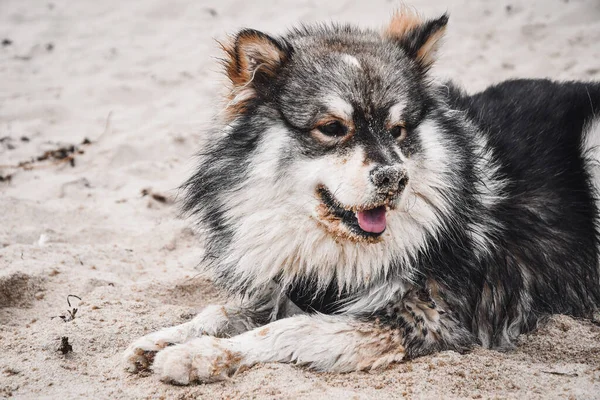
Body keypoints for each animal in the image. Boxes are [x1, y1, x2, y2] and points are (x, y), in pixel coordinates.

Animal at [122, 9, 600, 384]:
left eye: (398, 130)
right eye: (333, 128)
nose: (394, 178)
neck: (336, 251)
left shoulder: (423, 319)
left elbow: (287, 330)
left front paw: (197, 355)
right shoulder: (290, 284)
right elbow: (222, 311)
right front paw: (164, 338)